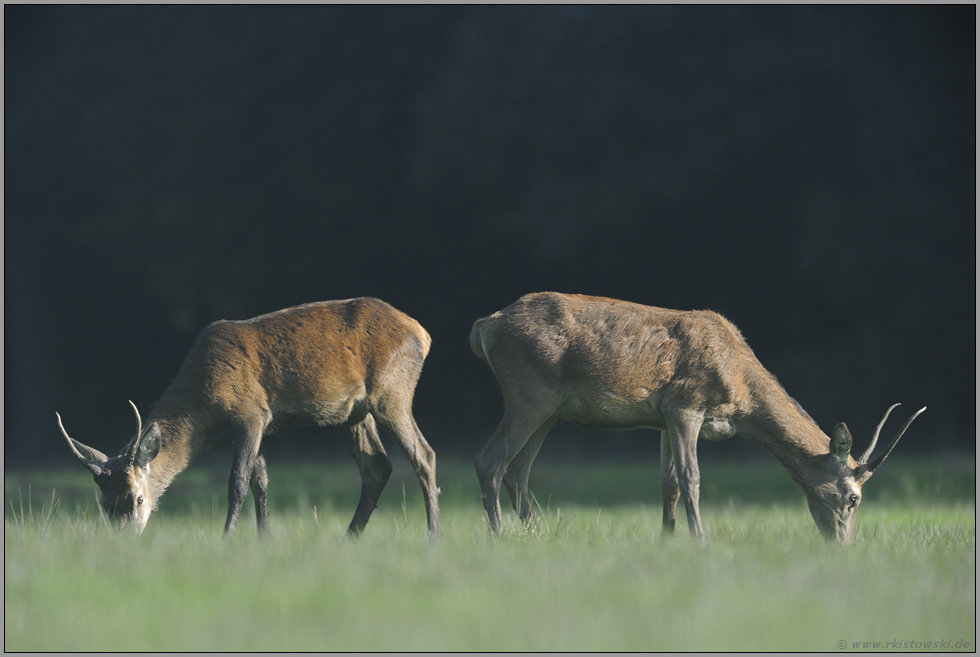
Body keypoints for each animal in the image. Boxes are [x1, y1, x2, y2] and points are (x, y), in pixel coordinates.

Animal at [53, 298, 436, 532]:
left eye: (138, 498)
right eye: (104, 504)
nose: (124, 541)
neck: (203, 418)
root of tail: (423, 333)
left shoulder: (250, 414)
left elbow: (237, 484)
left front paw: (227, 538)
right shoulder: (262, 423)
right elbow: (261, 484)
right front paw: (263, 539)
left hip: (392, 391)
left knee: (424, 456)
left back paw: (433, 538)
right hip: (353, 413)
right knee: (377, 467)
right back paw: (349, 538)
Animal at [470, 290, 924, 540]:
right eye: (853, 497)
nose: (843, 543)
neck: (741, 395)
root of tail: (483, 327)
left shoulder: (662, 419)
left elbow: (668, 483)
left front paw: (668, 540)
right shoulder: (684, 404)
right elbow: (692, 479)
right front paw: (701, 540)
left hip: (549, 409)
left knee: (518, 469)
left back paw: (535, 534)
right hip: (529, 393)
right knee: (490, 460)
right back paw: (499, 537)